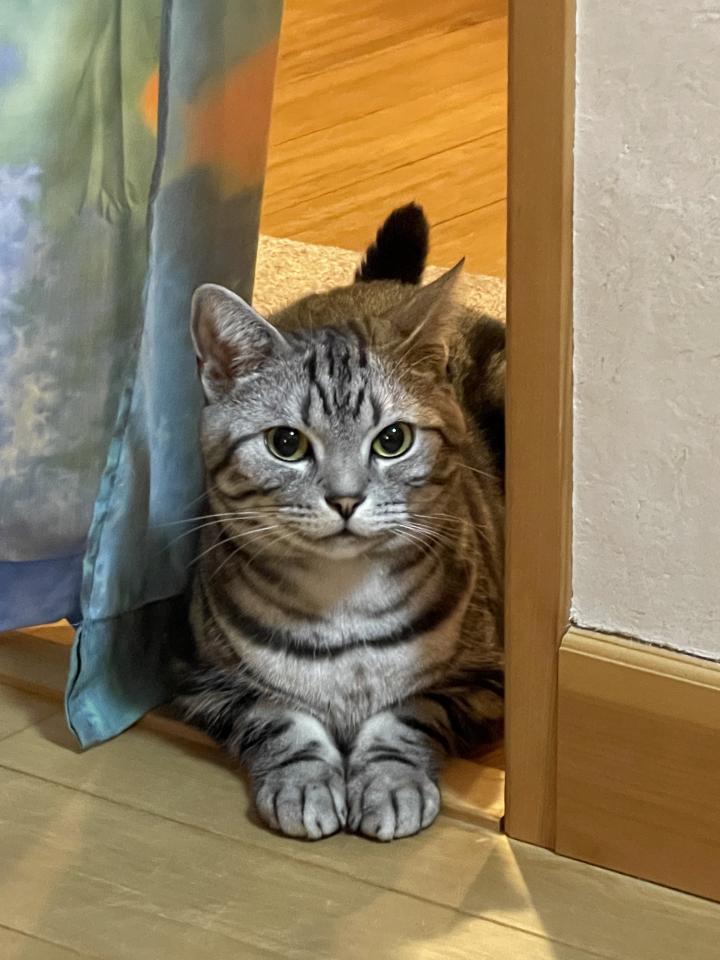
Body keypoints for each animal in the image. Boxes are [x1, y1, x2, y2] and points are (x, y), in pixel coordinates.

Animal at [176, 203, 505, 841]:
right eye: (286, 443)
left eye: (393, 439)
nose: (346, 499)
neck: (345, 608)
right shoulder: (205, 680)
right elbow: (278, 717)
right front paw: (305, 783)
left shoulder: (484, 680)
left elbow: (410, 713)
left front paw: (390, 782)